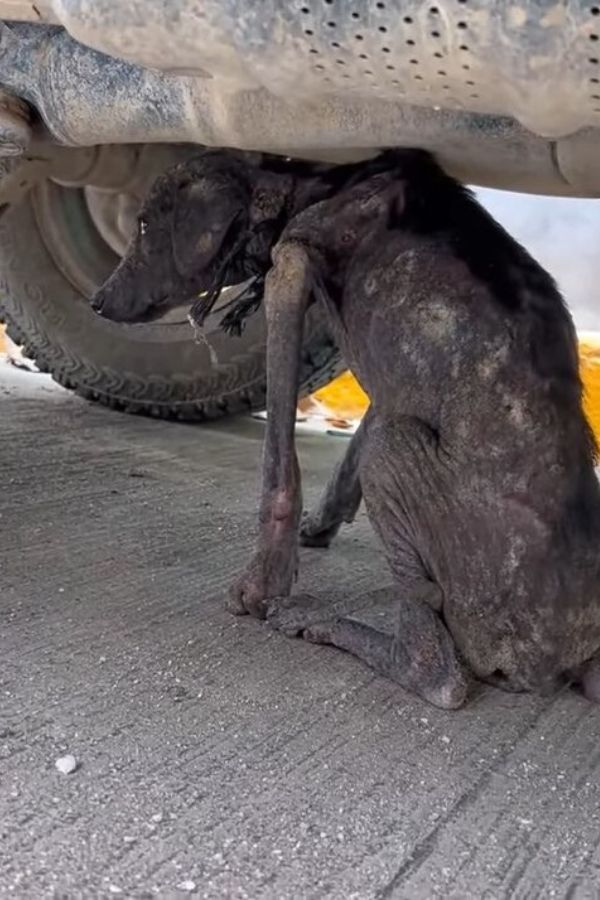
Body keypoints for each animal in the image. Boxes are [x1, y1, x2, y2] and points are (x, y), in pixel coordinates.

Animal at [91, 149, 600, 712]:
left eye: (142, 224)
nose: (96, 301)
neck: (317, 185)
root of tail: (569, 656)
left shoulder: (289, 271)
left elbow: (279, 465)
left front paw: (262, 581)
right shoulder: (387, 375)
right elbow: (349, 450)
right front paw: (318, 526)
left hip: (394, 453)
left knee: (438, 676)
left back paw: (322, 619)